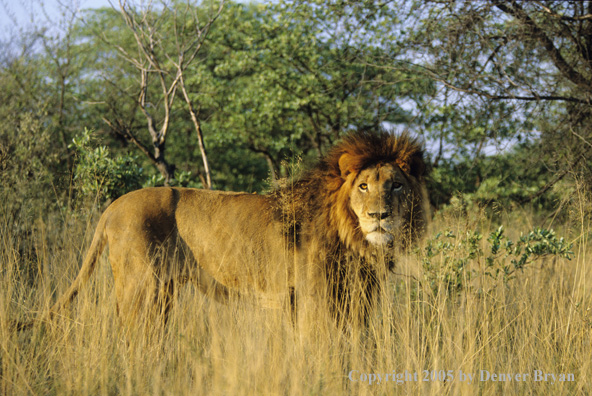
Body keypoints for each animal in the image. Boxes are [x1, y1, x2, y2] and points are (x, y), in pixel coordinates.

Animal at [31, 130, 426, 332]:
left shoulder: (357, 301)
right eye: (363, 186)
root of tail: (112, 206)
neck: (354, 237)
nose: (379, 215)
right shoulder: (312, 300)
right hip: (139, 288)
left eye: (395, 185)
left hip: (164, 293)